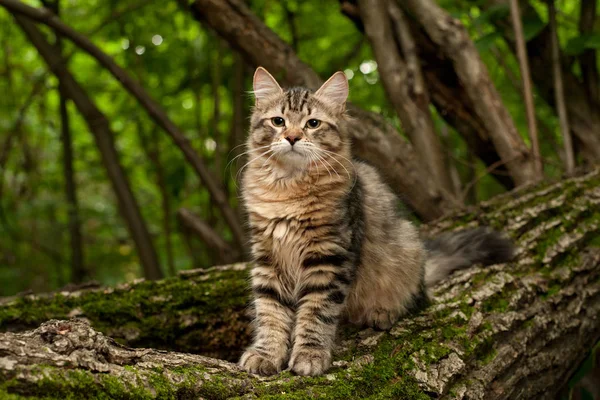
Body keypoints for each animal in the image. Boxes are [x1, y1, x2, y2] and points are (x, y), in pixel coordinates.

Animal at [237, 67, 512, 376]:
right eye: (278, 121)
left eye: (312, 123)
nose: (293, 137)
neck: (288, 189)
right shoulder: (268, 258)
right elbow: (270, 313)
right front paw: (266, 354)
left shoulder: (329, 257)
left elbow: (316, 313)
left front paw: (310, 354)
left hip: (408, 247)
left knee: (417, 300)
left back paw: (382, 313)